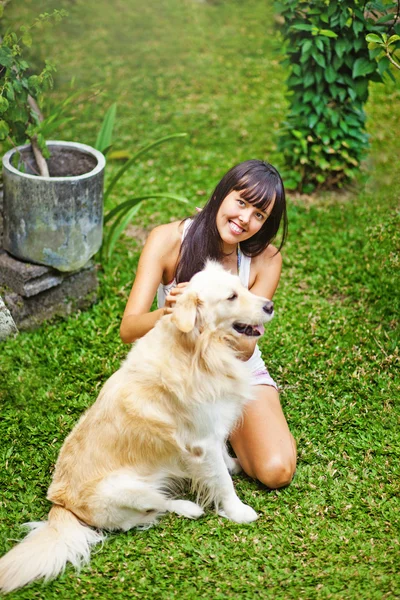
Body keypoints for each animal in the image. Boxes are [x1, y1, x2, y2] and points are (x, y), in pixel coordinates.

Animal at [0, 260, 274, 592]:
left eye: (244, 288)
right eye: (232, 297)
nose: (270, 305)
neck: (199, 349)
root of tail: (59, 506)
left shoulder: (211, 424)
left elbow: (222, 456)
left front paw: (232, 464)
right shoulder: (200, 441)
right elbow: (221, 481)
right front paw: (237, 510)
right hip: (124, 489)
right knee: (149, 510)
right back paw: (188, 508)